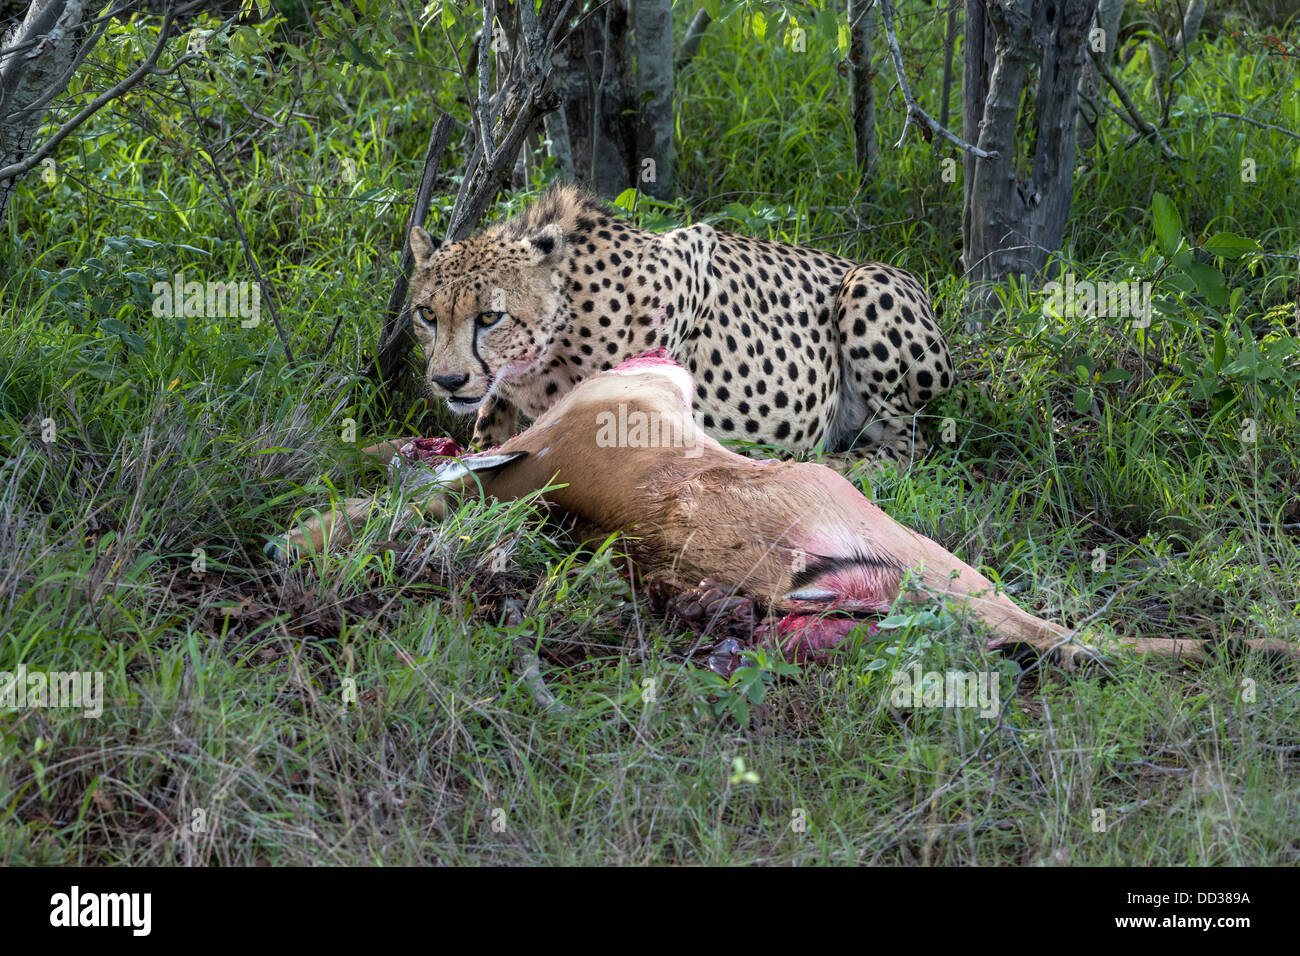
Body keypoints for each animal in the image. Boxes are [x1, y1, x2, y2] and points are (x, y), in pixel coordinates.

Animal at [405, 184, 956, 468]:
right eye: (427, 315)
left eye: (489, 316)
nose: (447, 381)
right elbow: (491, 416)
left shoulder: (694, 255)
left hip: (868, 285)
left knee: (908, 445)